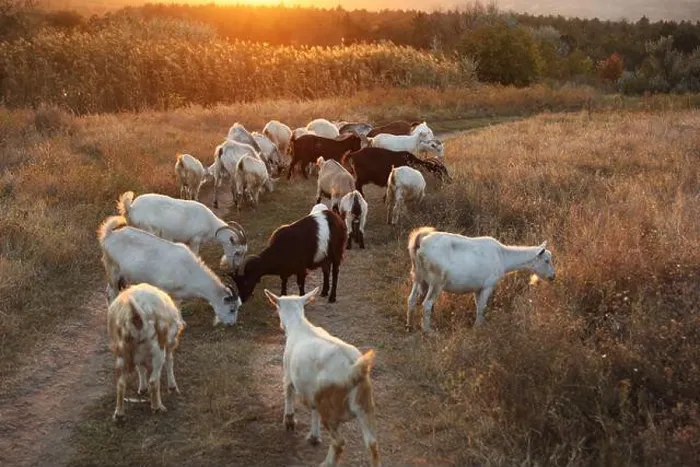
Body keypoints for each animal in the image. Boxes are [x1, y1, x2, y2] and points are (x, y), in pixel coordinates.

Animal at [98, 216, 241, 325]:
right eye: (232, 309)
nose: (232, 324)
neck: (189, 271)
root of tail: (109, 234)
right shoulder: (163, 288)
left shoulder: (178, 294)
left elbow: (178, 304)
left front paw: (181, 322)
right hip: (112, 269)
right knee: (111, 292)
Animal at [108, 283, 185, 420]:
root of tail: (134, 313)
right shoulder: (168, 343)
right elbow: (169, 362)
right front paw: (172, 387)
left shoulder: (137, 355)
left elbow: (141, 368)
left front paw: (142, 388)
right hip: (157, 350)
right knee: (154, 381)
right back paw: (157, 407)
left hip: (122, 352)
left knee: (121, 383)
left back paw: (119, 413)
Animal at [117, 191, 247, 270]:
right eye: (238, 252)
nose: (237, 268)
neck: (210, 223)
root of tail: (131, 207)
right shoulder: (195, 239)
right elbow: (195, 254)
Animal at [264, 287, 380, 467]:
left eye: (277, 307)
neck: (300, 326)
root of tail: (354, 367)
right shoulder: (313, 392)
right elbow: (313, 410)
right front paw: (314, 436)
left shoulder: (288, 375)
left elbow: (288, 394)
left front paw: (289, 422)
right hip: (365, 407)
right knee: (372, 444)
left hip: (330, 409)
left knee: (339, 442)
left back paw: (327, 463)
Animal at [407, 227, 557, 332]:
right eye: (546, 260)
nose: (553, 276)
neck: (503, 257)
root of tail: (419, 243)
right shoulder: (487, 286)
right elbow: (481, 307)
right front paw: (477, 328)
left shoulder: (477, 288)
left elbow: (478, 306)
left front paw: (481, 324)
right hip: (437, 281)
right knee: (427, 304)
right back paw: (428, 331)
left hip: (418, 278)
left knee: (411, 300)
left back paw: (410, 327)